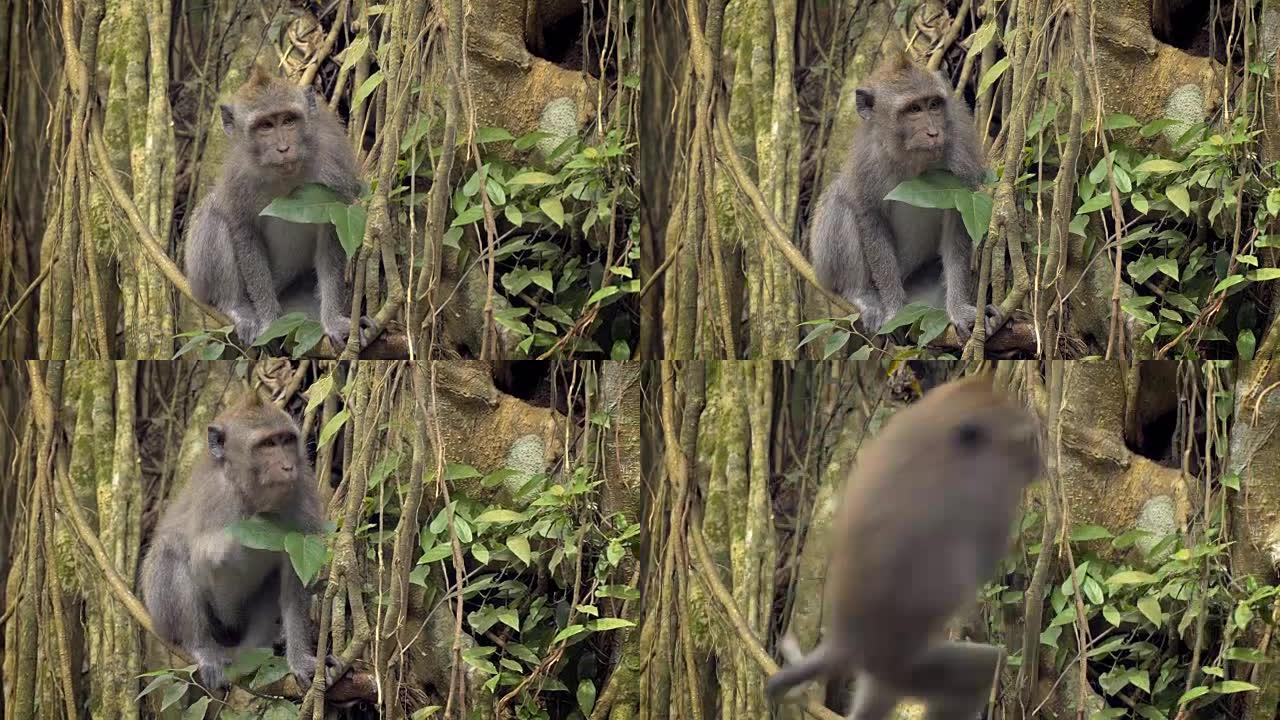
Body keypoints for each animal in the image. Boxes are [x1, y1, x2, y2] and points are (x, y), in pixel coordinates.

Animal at [141, 392, 345, 691]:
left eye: (286, 440)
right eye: (267, 444)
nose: (288, 467)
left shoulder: (302, 488)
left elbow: (295, 574)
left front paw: (302, 660)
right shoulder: (215, 497)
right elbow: (206, 561)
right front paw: (259, 525)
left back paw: (252, 650)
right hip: (162, 618)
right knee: (170, 551)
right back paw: (202, 647)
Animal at [185, 63, 373, 348]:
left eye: (288, 120)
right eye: (265, 126)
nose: (283, 148)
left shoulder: (333, 164)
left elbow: (332, 235)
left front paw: (333, 321)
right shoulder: (238, 178)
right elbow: (244, 232)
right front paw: (269, 322)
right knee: (213, 215)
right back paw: (236, 307)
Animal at [762, 371, 1044, 717]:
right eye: (1026, 440)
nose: (1040, 463)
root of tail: (845, 643)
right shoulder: (989, 487)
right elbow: (984, 560)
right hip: (904, 668)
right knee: (980, 670)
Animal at [808, 53, 1008, 338]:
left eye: (933, 105)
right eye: (914, 110)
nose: (934, 133)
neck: (913, 162)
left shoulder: (960, 153)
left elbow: (957, 225)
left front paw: (960, 309)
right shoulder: (868, 161)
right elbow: (870, 217)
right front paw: (894, 310)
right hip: (825, 267)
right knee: (839, 202)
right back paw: (860, 294)